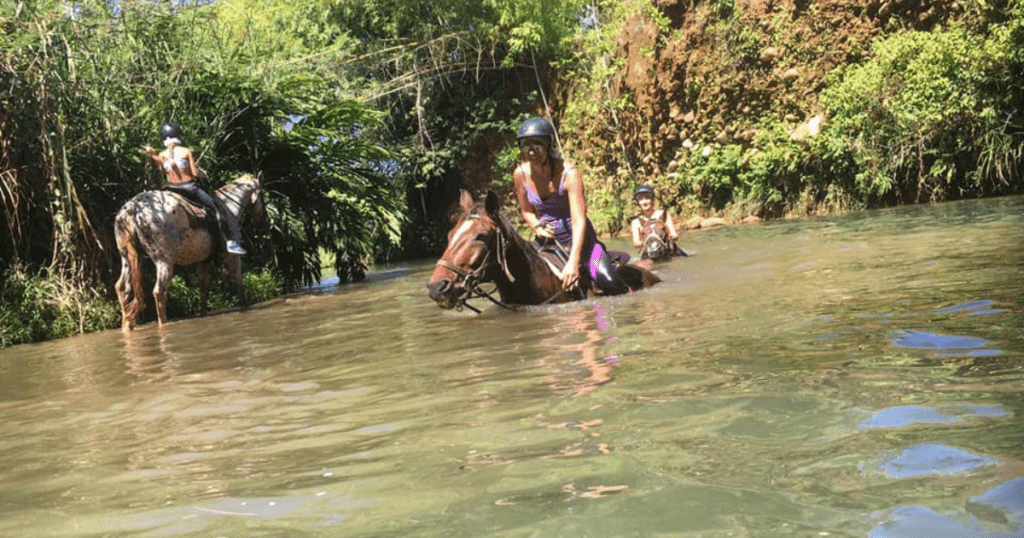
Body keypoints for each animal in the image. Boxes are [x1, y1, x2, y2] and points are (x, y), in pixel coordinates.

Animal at [114, 174, 266, 329]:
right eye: (262, 194)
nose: (264, 217)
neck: (227, 207)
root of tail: (133, 209)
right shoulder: (232, 258)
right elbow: (239, 284)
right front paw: (246, 309)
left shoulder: (203, 261)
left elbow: (204, 290)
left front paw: (203, 315)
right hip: (164, 261)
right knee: (159, 292)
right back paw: (163, 324)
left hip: (126, 258)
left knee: (122, 288)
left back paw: (127, 326)